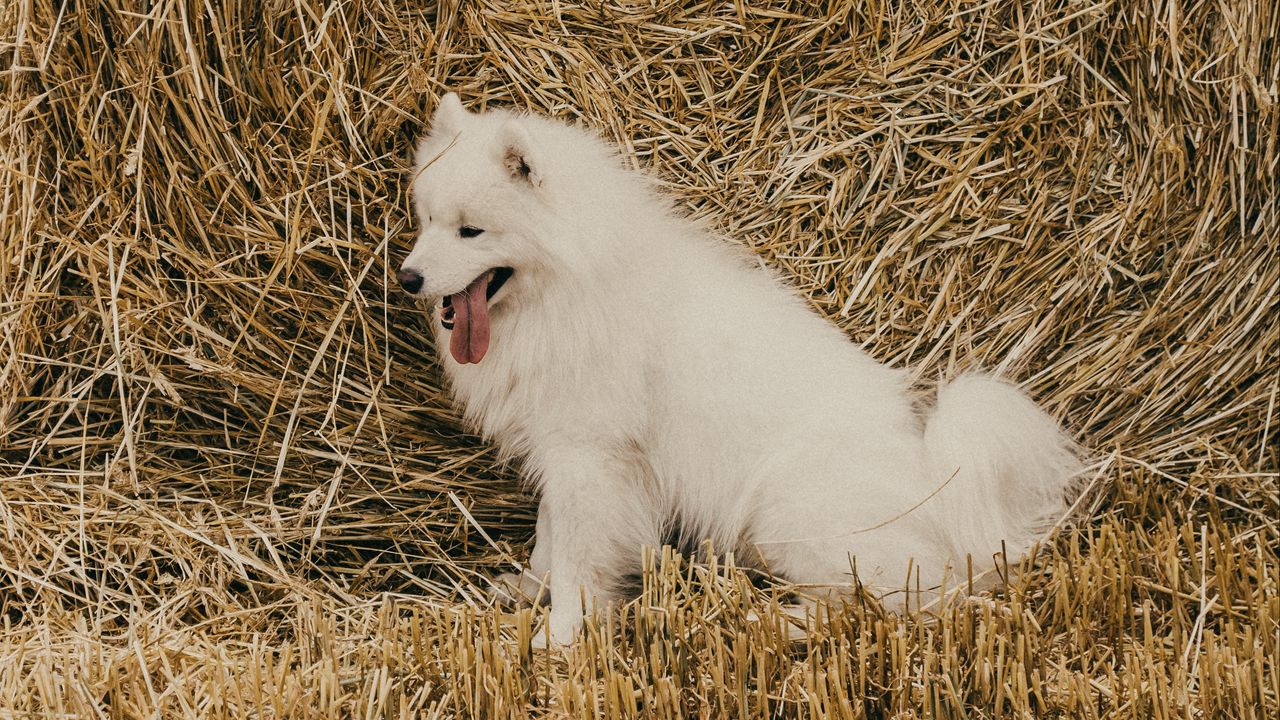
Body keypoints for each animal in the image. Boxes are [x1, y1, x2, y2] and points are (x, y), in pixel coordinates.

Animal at [396, 90, 1080, 645]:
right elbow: (550, 538)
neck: (571, 285)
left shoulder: (590, 458)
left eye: (472, 231)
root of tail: (940, 489)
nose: (409, 278)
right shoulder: (565, 453)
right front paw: (529, 591)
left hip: (788, 511)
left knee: (885, 605)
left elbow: (576, 557)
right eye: (426, 220)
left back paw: (771, 620)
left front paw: (560, 634)